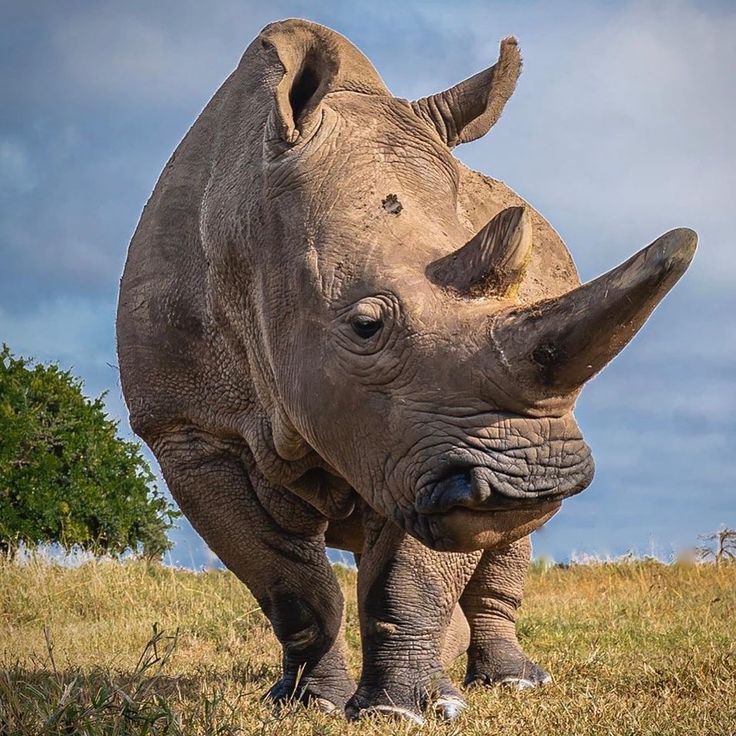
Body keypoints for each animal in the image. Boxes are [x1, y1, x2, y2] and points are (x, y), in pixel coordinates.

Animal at [116, 19, 696, 724]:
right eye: (366, 326)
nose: (535, 478)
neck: (251, 229)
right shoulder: (186, 429)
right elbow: (288, 583)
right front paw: (310, 705)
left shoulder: (422, 436)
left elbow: (411, 574)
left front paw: (405, 710)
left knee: (499, 542)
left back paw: (514, 682)